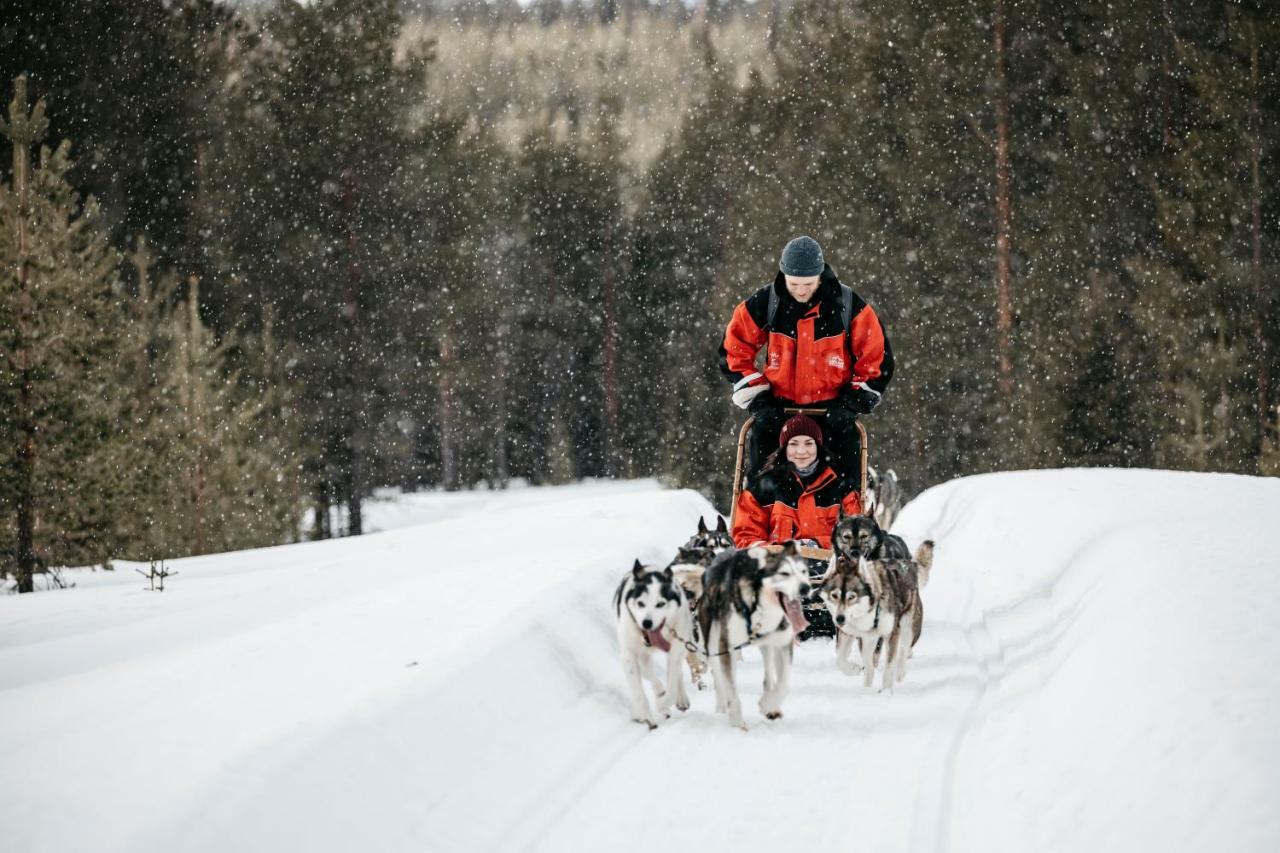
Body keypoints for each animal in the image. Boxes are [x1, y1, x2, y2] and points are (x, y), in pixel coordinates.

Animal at [701, 540, 808, 727]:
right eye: (784, 573)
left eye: (803, 572)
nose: (806, 587)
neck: (758, 606)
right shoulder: (726, 646)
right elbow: (730, 687)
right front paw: (737, 723)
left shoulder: (783, 642)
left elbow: (784, 684)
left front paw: (768, 705)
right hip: (712, 643)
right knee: (719, 677)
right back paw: (721, 706)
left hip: (768, 644)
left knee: (769, 673)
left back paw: (773, 705)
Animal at [819, 540, 931, 686]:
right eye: (834, 595)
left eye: (852, 597)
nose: (839, 619)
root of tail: (908, 564)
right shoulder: (852, 634)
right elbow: (841, 659)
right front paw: (854, 671)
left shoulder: (892, 633)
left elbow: (889, 667)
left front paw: (886, 689)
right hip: (870, 639)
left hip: (909, 627)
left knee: (905, 648)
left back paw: (900, 672)